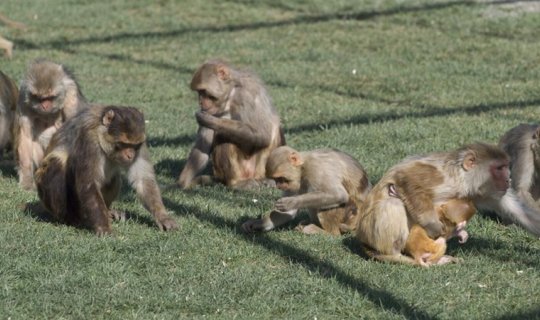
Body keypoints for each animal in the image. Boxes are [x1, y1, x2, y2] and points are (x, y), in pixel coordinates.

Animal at [14, 58, 89, 189]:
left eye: (50, 97)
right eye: (39, 98)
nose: (45, 106)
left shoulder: (71, 94)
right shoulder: (23, 96)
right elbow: (25, 136)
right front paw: (27, 179)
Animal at [35, 105, 179, 235]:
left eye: (134, 145)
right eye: (123, 144)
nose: (130, 155)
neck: (101, 134)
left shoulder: (141, 142)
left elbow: (143, 180)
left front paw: (163, 217)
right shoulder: (90, 140)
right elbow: (89, 184)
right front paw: (103, 227)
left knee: (114, 178)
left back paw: (109, 211)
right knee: (56, 164)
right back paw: (73, 219)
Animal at [178, 59, 286, 190]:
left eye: (203, 91)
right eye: (199, 92)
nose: (200, 102)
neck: (230, 95)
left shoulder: (248, 93)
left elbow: (263, 134)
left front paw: (213, 121)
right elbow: (202, 146)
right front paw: (182, 183)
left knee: (271, 128)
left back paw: (258, 180)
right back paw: (235, 182)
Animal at [242, 146, 372, 234]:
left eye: (281, 179)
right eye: (276, 180)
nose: (278, 186)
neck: (303, 169)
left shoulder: (316, 169)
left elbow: (339, 195)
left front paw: (292, 202)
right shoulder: (294, 184)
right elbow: (288, 213)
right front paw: (257, 223)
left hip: (349, 215)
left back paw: (326, 232)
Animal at [354, 144, 510, 266]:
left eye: (505, 166)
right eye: (499, 168)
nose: (509, 179)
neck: (461, 177)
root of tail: (362, 239)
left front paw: (459, 231)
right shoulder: (441, 176)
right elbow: (407, 178)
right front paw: (433, 225)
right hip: (371, 234)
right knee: (393, 203)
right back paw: (394, 255)